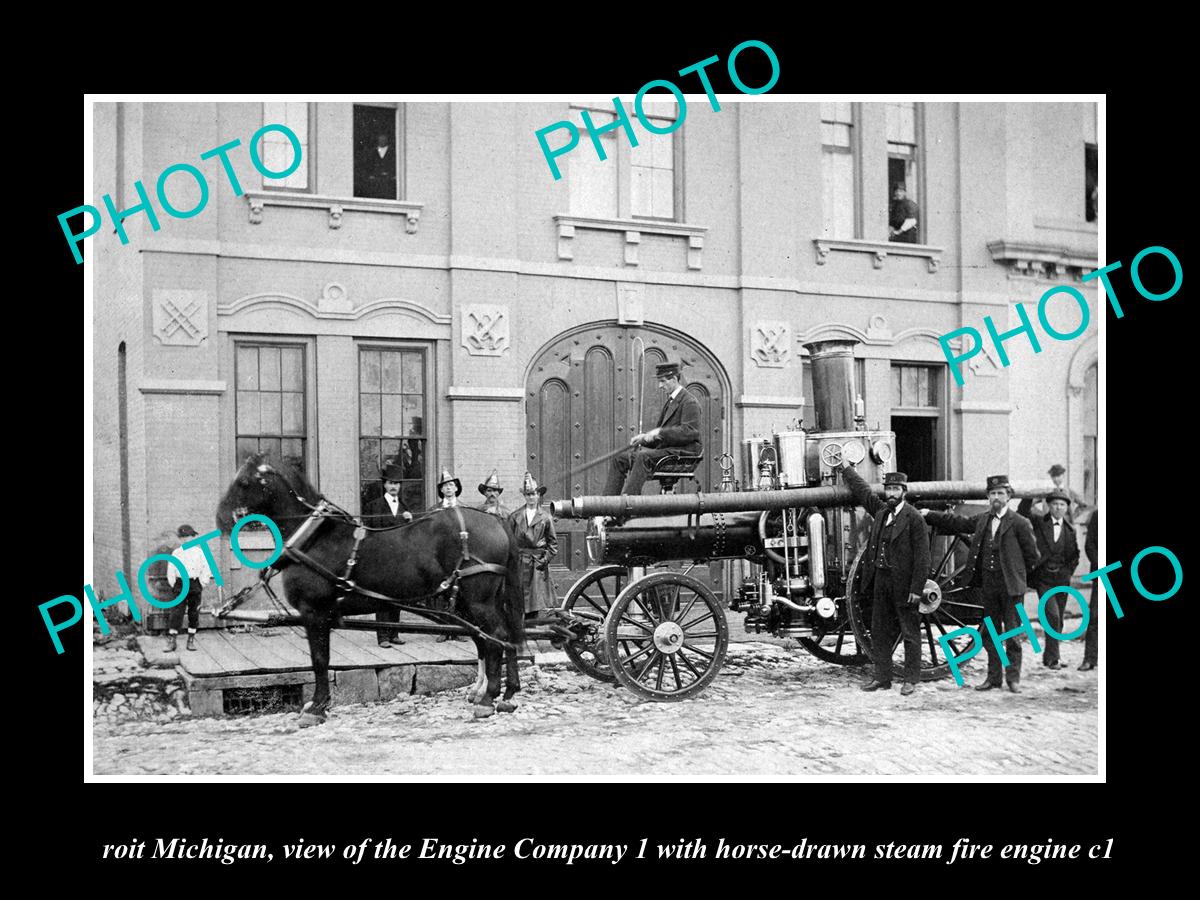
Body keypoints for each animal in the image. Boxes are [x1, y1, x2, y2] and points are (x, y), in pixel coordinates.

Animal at [216, 453, 525, 729]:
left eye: (244, 481)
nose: (221, 519)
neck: (313, 538)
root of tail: (496, 520)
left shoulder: (314, 613)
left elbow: (320, 660)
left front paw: (316, 708)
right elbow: (321, 660)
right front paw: (318, 705)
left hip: (477, 601)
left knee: (496, 637)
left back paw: (488, 699)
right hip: (475, 601)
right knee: (497, 637)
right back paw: (505, 694)